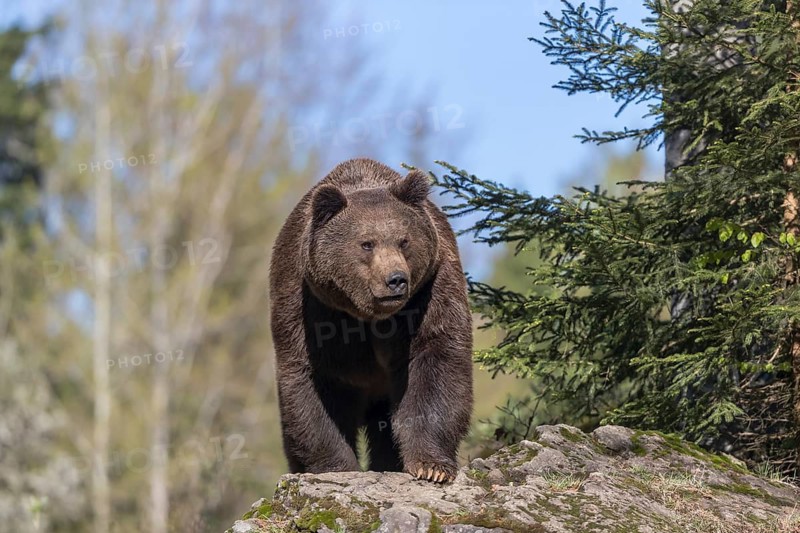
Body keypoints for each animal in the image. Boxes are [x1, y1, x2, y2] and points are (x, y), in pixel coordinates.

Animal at [269, 158, 473, 483]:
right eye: (367, 243)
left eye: (404, 241)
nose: (396, 280)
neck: (368, 315)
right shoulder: (309, 307)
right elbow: (315, 385)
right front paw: (336, 467)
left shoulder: (430, 291)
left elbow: (436, 362)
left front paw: (431, 466)